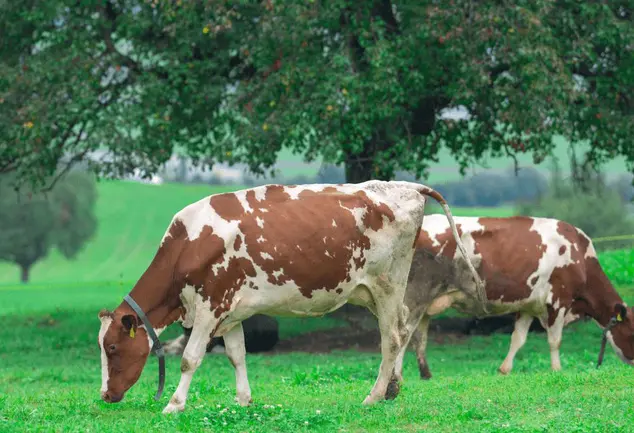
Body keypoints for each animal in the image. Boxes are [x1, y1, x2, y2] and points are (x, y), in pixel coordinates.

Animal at [97, 181, 487, 414]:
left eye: (112, 348)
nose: (105, 395)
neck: (191, 242)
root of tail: (404, 185)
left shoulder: (210, 306)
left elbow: (190, 359)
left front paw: (174, 405)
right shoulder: (230, 310)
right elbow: (237, 355)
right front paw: (243, 400)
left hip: (387, 283)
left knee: (391, 337)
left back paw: (374, 395)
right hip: (378, 292)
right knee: (403, 328)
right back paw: (391, 388)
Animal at [394, 214, 634, 381]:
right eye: (632, 332)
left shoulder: (528, 305)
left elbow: (518, 339)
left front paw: (504, 369)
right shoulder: (559, 300)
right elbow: (554, 340)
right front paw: (557, 369)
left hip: (425, 303)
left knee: (419, 338)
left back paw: (425, 374)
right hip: (413, 298)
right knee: (403, 335)